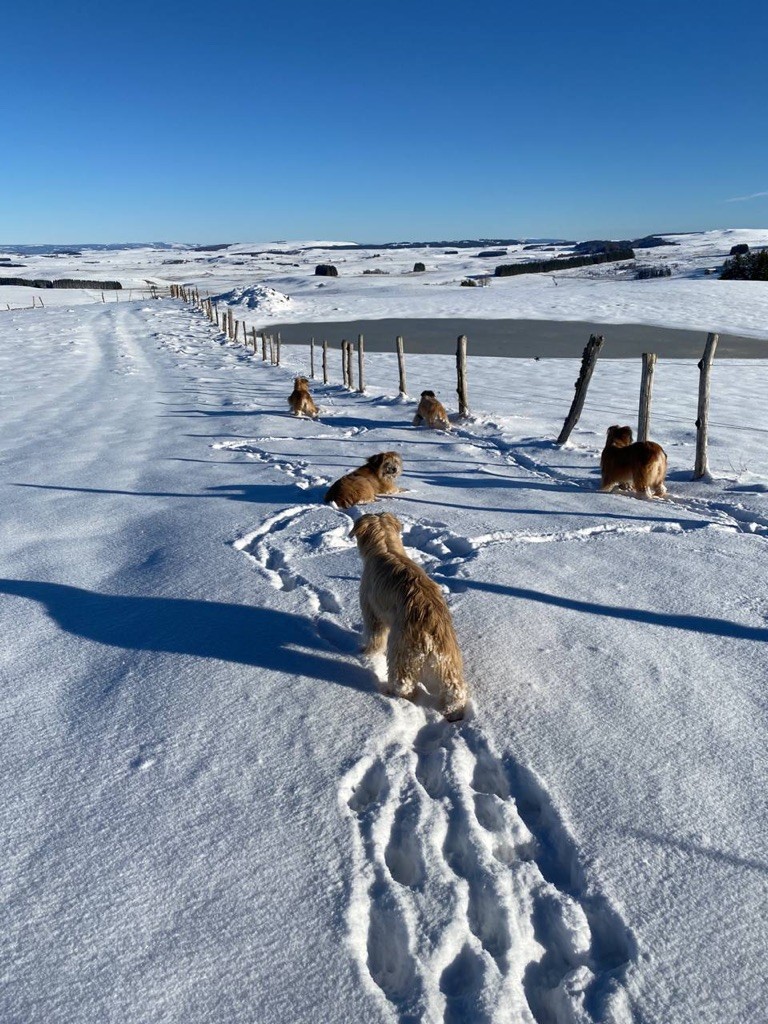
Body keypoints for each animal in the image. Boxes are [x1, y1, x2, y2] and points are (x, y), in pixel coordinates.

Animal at [350, 509, 468, 720]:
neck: (386, 547)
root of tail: (429, 628)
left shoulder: (372, 614)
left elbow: (374, 639)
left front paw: (367, 653)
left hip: (401, 653)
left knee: (403, 684)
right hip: (448, 660)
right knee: (455, 689)